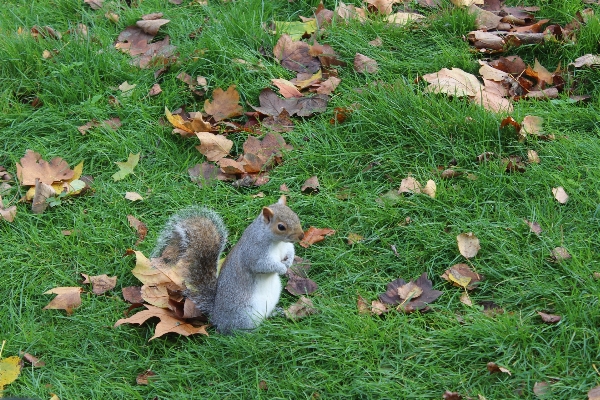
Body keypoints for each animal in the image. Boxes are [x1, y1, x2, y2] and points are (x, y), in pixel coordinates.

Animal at [154, 195, 304, 332]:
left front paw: (289, 262)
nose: (301, 236)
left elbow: (290, 251)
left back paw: (275, 313)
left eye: (295, 215)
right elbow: (263, 265)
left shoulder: (286, 247)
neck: (277, 242)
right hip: (244, 315)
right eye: (281, 227)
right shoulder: (254, 253)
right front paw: (281, 268)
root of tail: (216, 317)